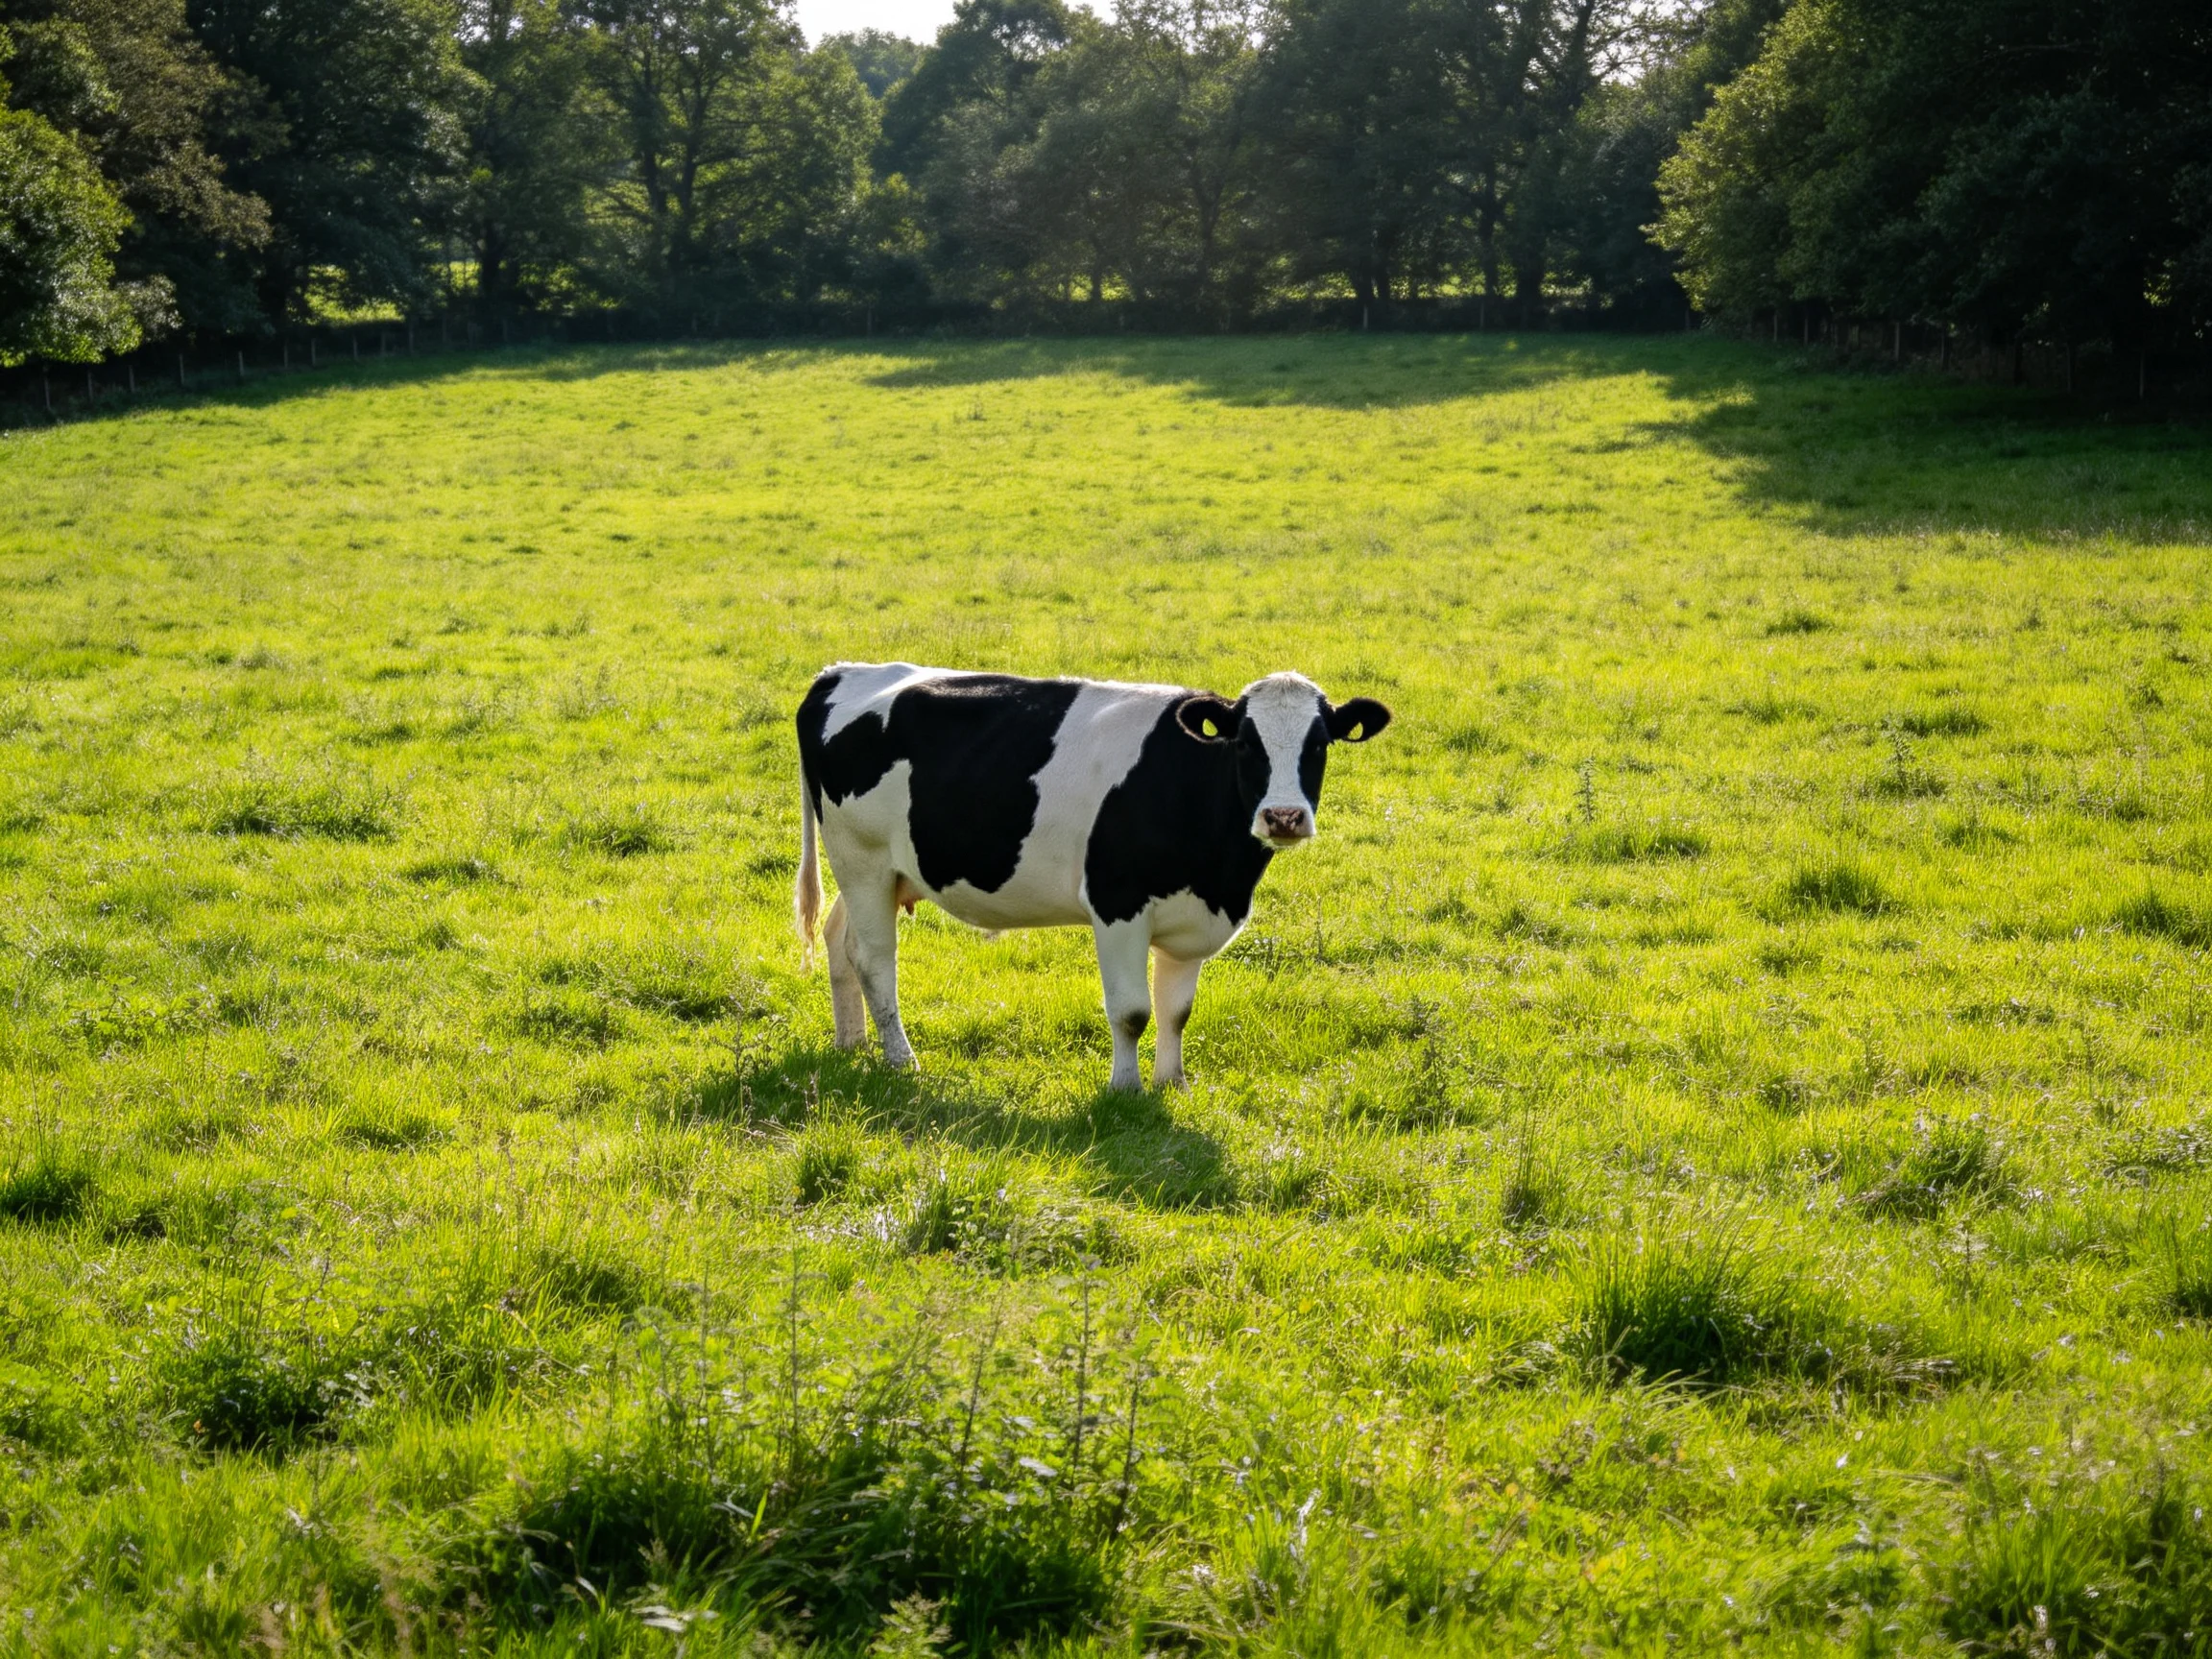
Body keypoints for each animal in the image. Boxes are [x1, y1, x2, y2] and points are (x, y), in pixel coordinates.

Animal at [793, 664, 1392, 1090]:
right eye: (1245, 742)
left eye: (1320, 744)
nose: (1283, 817)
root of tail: (840, 672)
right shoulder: (1118, 903)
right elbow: (1132, 1012)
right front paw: (1125, 1089)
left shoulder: (1192, 915)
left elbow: (1176, 1011)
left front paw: (1172, 1084)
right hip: (862, 859)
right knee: (875, 960)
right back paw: (902, 1060)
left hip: (883, 870)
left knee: (839, 941)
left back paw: (852, 1045)